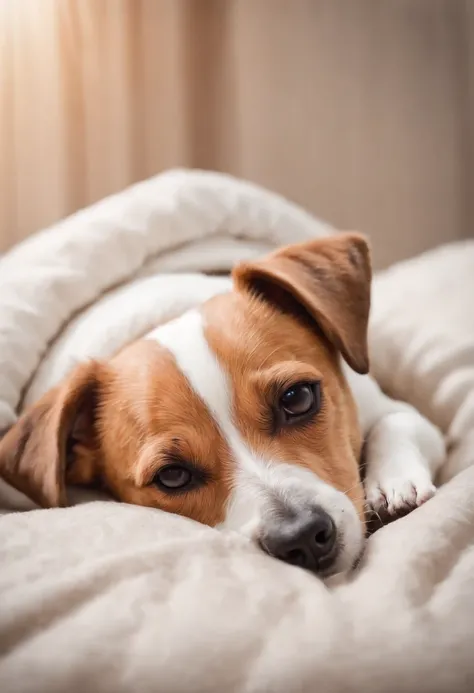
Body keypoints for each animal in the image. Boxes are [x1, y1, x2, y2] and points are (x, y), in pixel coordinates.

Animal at [0, 235, 444, 576]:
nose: (301, 537)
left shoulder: (395, 409)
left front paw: (394, 481)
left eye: (297, 398)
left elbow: (396, 422)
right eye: (172, 476)